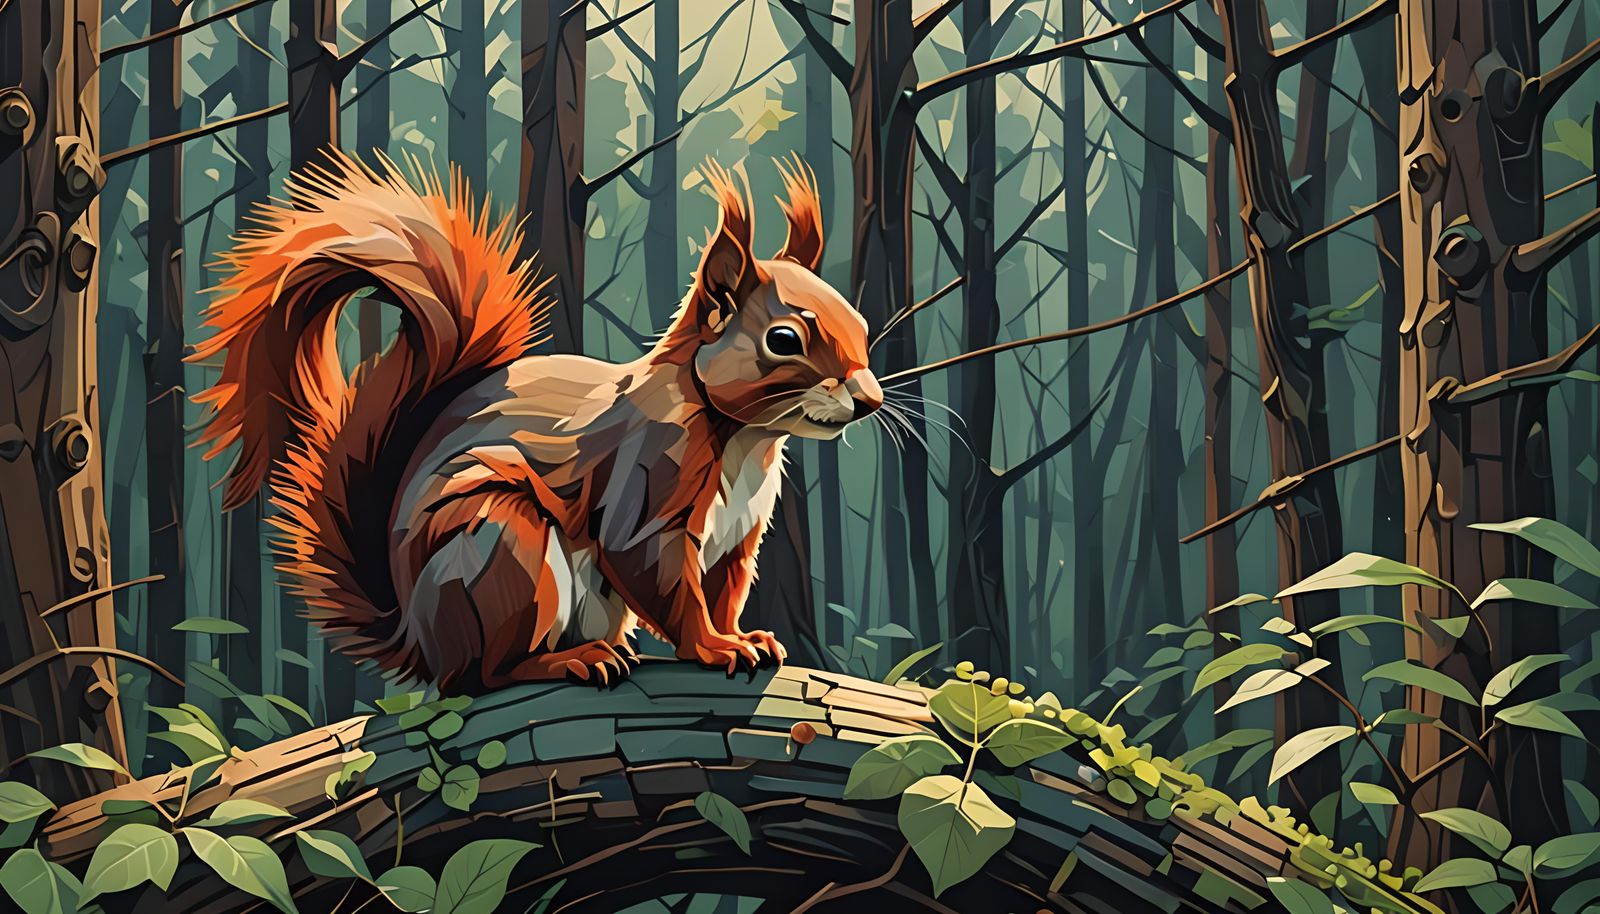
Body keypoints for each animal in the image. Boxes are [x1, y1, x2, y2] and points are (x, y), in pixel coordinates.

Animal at [191, 152, 882, 693]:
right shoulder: (650, 473)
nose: (869, 400)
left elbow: (724, 587)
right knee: (484, 674)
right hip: (501, 549)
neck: (741, 436)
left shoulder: (738, 533)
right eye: (783, 339)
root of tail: (417, 637)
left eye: (861, 323)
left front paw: (744, 636)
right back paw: (568, 663)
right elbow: (653, 568)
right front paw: (713, 647)